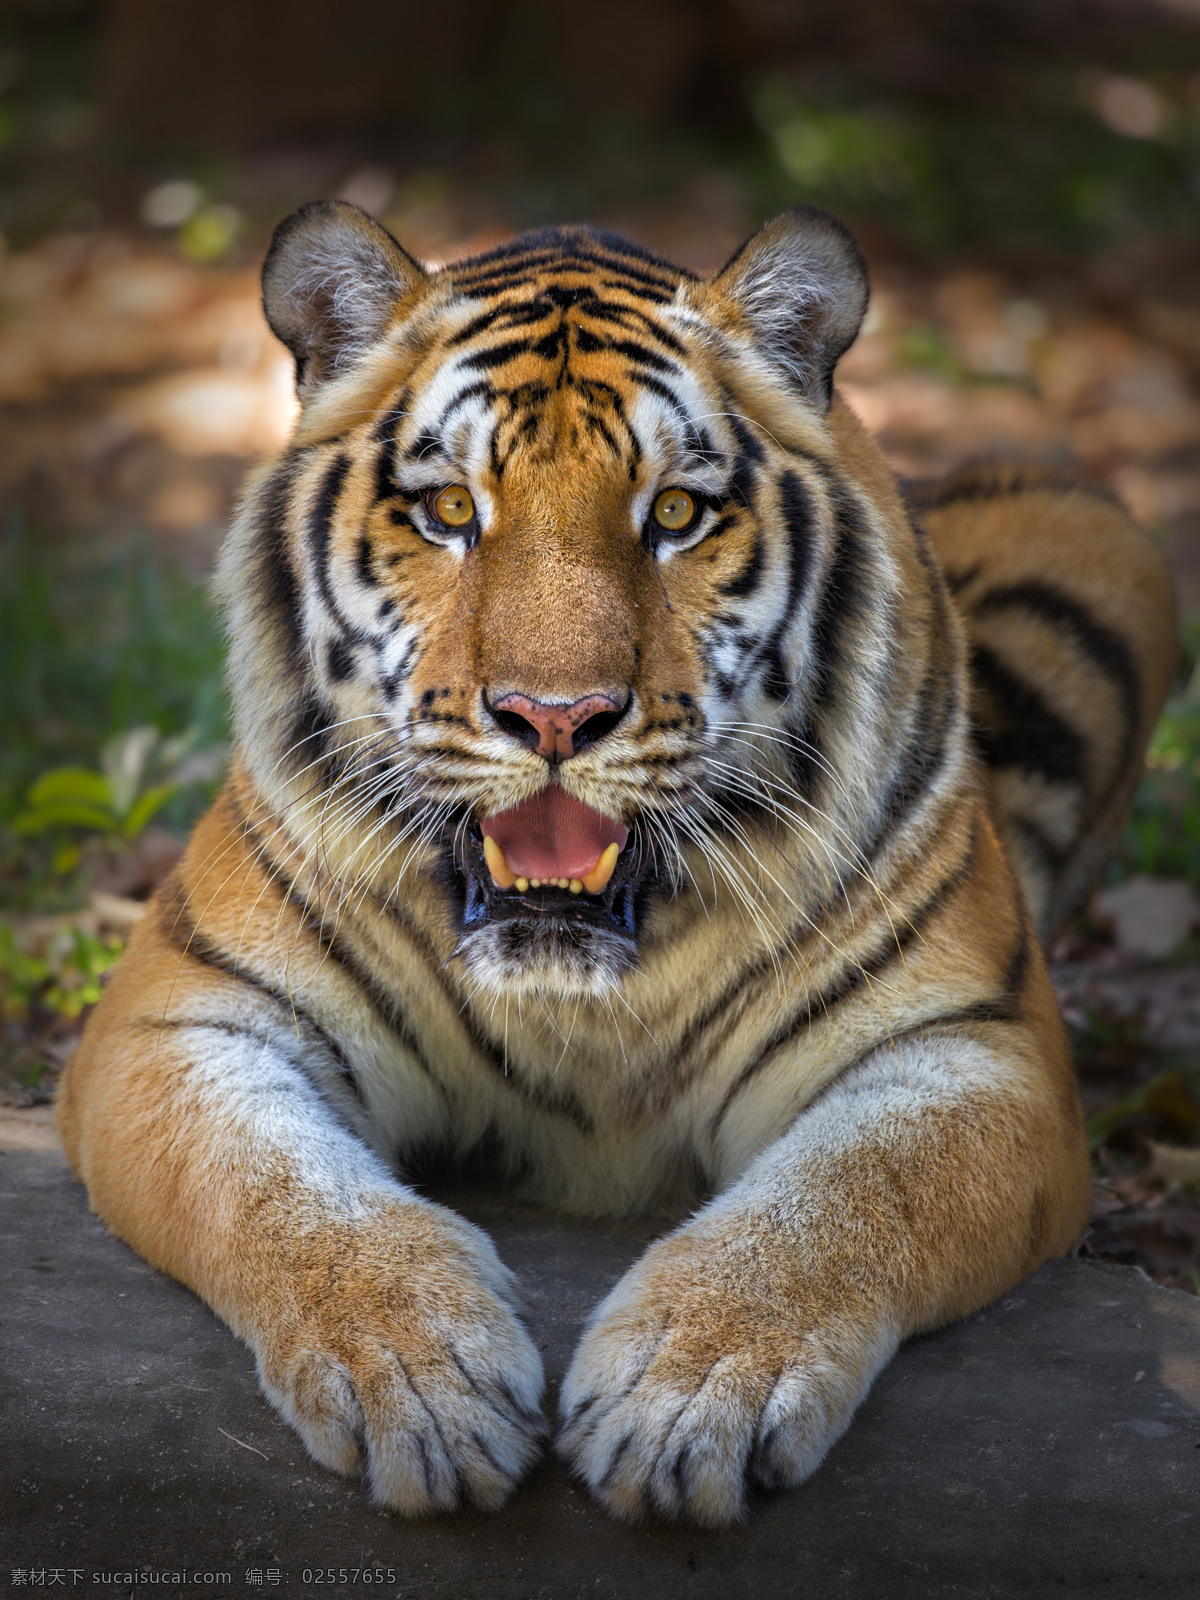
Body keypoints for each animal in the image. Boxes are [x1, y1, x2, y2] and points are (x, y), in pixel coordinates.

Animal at [54, 200, 1177, 1523]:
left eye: (676, 515)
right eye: (449, 511)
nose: (556, 717)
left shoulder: (973, 1051)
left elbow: (843, 1201)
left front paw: (687, 1396)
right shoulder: (182, 1020)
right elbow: (282, 1193)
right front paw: (422, 1379)